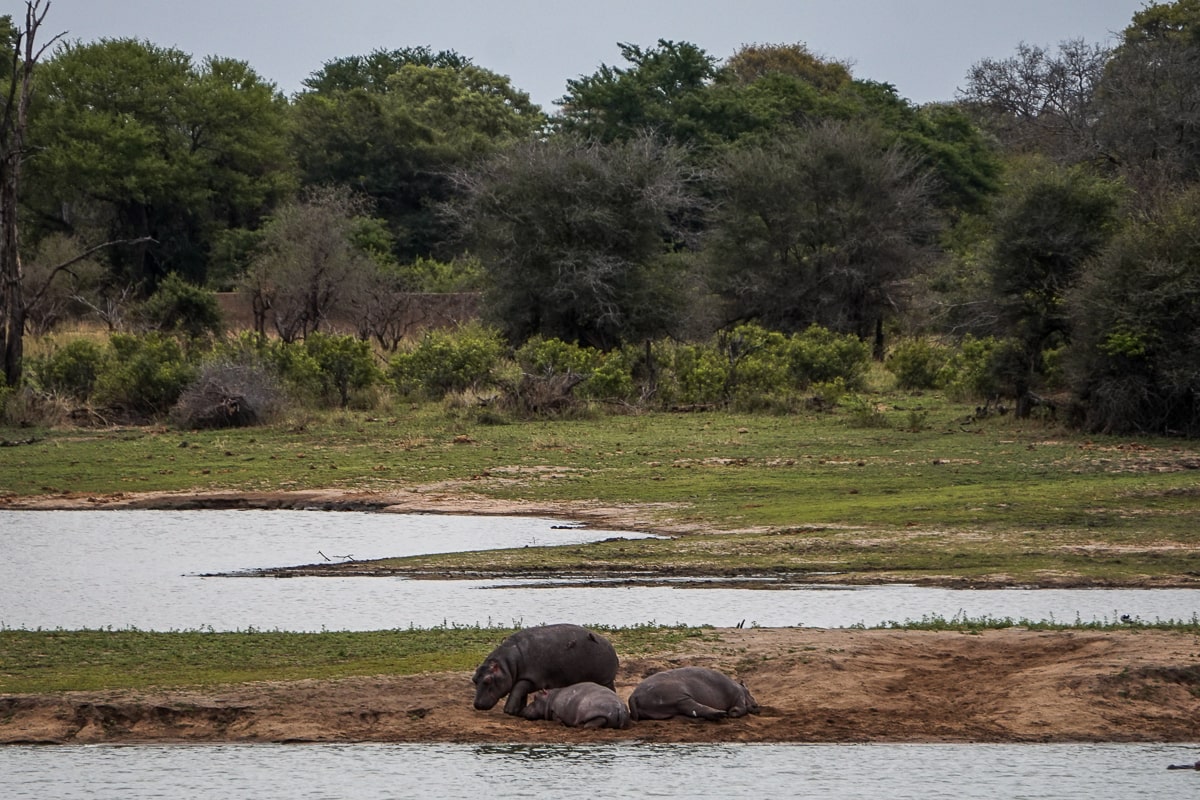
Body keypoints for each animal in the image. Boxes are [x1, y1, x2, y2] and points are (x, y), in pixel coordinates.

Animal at [472, 623, 620, 716]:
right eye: (474, 679)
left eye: (487, 680)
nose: (477, 704)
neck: (507, 665)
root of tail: (611, 646)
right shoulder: (522, 677)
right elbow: (520, 693)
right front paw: (517, 711)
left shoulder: (531, 678)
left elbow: (516, 690)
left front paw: (508, 711)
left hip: (605, 679)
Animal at [627, 666, 760, 721]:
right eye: (751, 692)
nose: (757, 704)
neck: (742, 689)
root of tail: (633, 696)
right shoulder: (739, 695)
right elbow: (741, 708)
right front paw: (733, 712)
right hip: (678, 698)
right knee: (696, 708)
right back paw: (721, 714)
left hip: (670, 704)